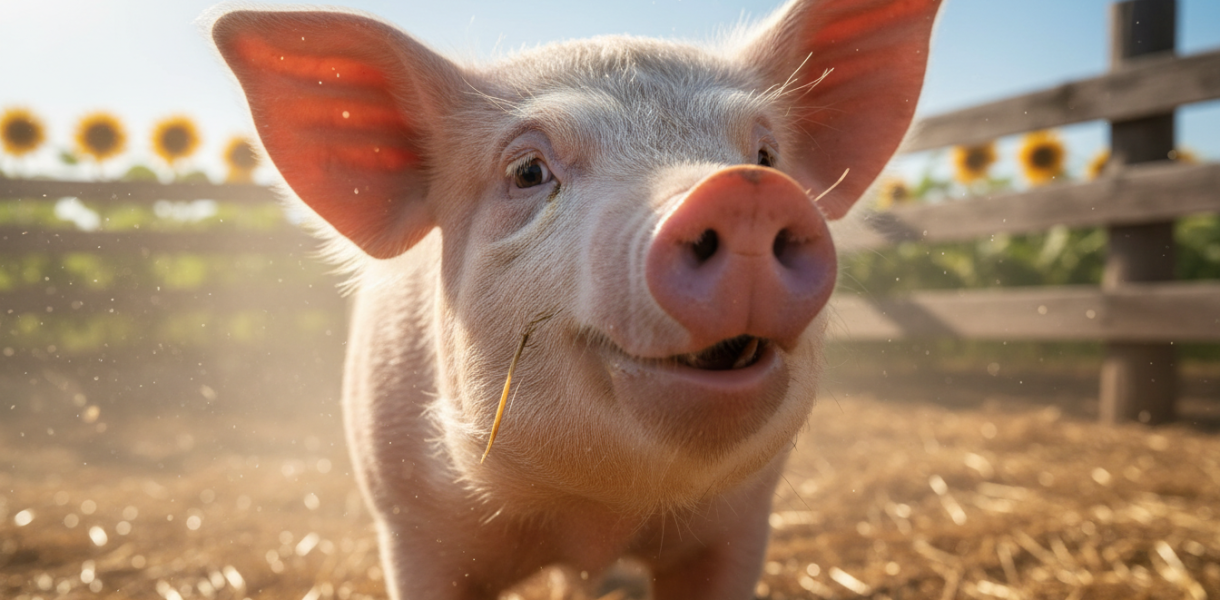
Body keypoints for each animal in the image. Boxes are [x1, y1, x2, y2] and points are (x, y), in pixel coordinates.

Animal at [209, 0, 940, 597]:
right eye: (529, 171)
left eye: (766, 155)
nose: (743, 192)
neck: (593, 517)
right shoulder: (411, 527)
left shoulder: (738, 528)